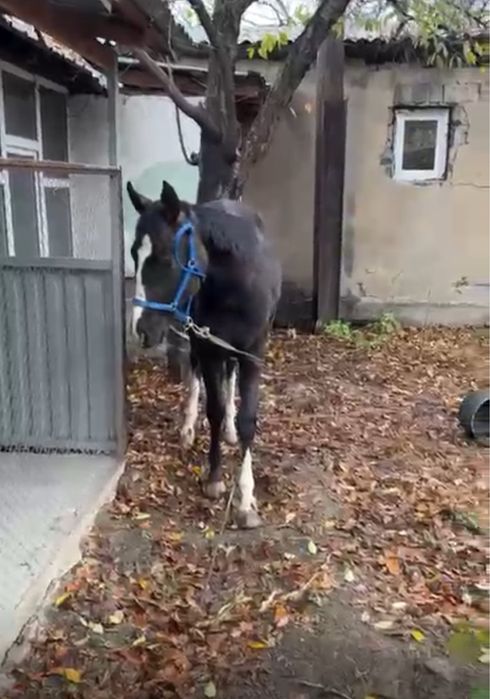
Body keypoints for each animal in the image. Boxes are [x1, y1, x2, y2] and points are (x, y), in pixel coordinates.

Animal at [127, 180, 281, 529]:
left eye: (164, 257)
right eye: (133, 254)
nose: (140, 330)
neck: (235, 283)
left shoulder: (253, 353)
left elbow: (248, 419)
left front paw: (246, 501)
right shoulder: (209, 347)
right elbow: (213, 408)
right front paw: (214, 478)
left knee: (229, 377)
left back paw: (229, 432)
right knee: (195, 373)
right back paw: (188, 427)